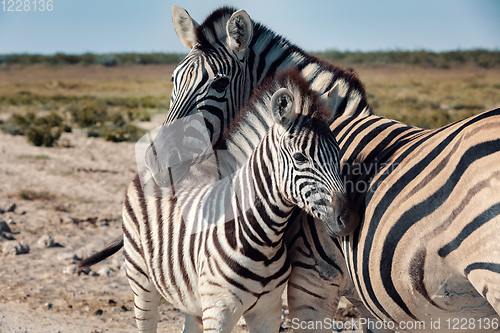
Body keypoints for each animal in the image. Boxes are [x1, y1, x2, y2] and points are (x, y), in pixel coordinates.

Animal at [123, 68, 358, 330]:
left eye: (338, 154)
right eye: (300, 158)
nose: (349, 218)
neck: (263, 240)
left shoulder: (268, 311)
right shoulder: (219, 310)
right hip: (141, 281)